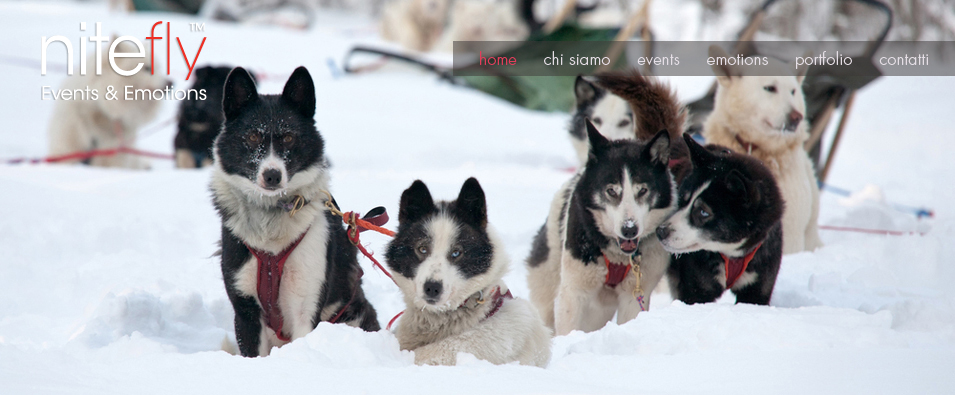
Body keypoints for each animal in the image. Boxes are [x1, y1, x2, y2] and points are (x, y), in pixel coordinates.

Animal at [528, 122, 676, 336]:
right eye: (611, 190)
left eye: (642, 190)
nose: (629, 229)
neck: (617, 256)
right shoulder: (573, 293)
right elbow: (567, 328)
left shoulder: (634, 295)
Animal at [656, 136, 784, 306]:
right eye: (682, 200)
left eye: (703, 212)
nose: (660, 231)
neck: (732, 254)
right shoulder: (698, 292)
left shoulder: (755, 292)